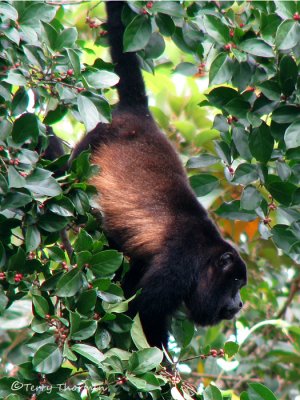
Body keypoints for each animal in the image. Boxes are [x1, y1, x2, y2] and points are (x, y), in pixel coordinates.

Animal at [71, 1, 248, 348]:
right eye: (234, 283)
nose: (239, 304)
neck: (206, 254)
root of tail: (139, 115)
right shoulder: (180, 264)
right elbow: (144, 311)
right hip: (92, 141)